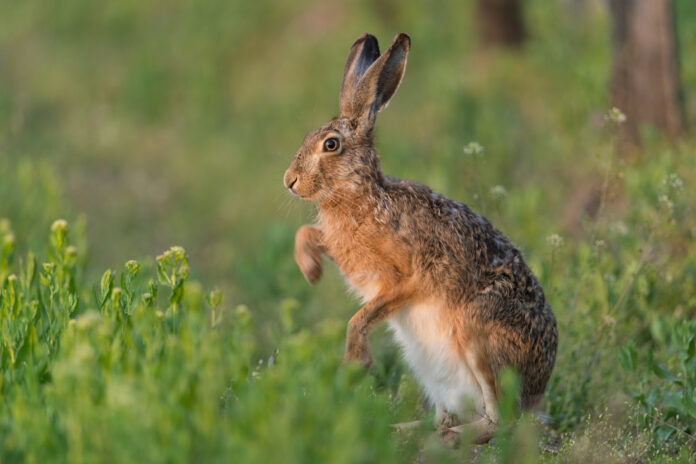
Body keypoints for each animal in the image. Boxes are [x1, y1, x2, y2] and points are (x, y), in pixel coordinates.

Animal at [283, 32, 557, 443]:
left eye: (330, 145)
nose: (289, 181)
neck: (361, 198)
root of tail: (537, 395)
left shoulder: (407, 279)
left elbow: (359, 318)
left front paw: (355, 362)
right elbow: (307, 233)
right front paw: (311, 271)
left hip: (479, 336)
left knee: (499, 421)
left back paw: (453, 438)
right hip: (427, 366)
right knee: (444, 416)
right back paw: (403, 430)